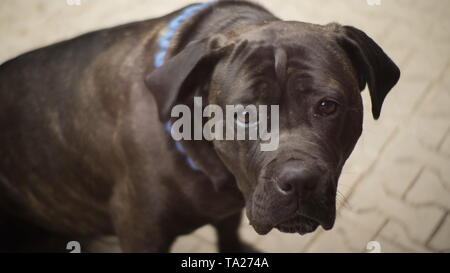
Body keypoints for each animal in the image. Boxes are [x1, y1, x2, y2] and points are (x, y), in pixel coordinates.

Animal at [0, 0, 400, 252]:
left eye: (327, 106)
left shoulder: (231, 209)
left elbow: (228, 236)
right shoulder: (141, 233)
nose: (299, 180)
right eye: (245, 115)